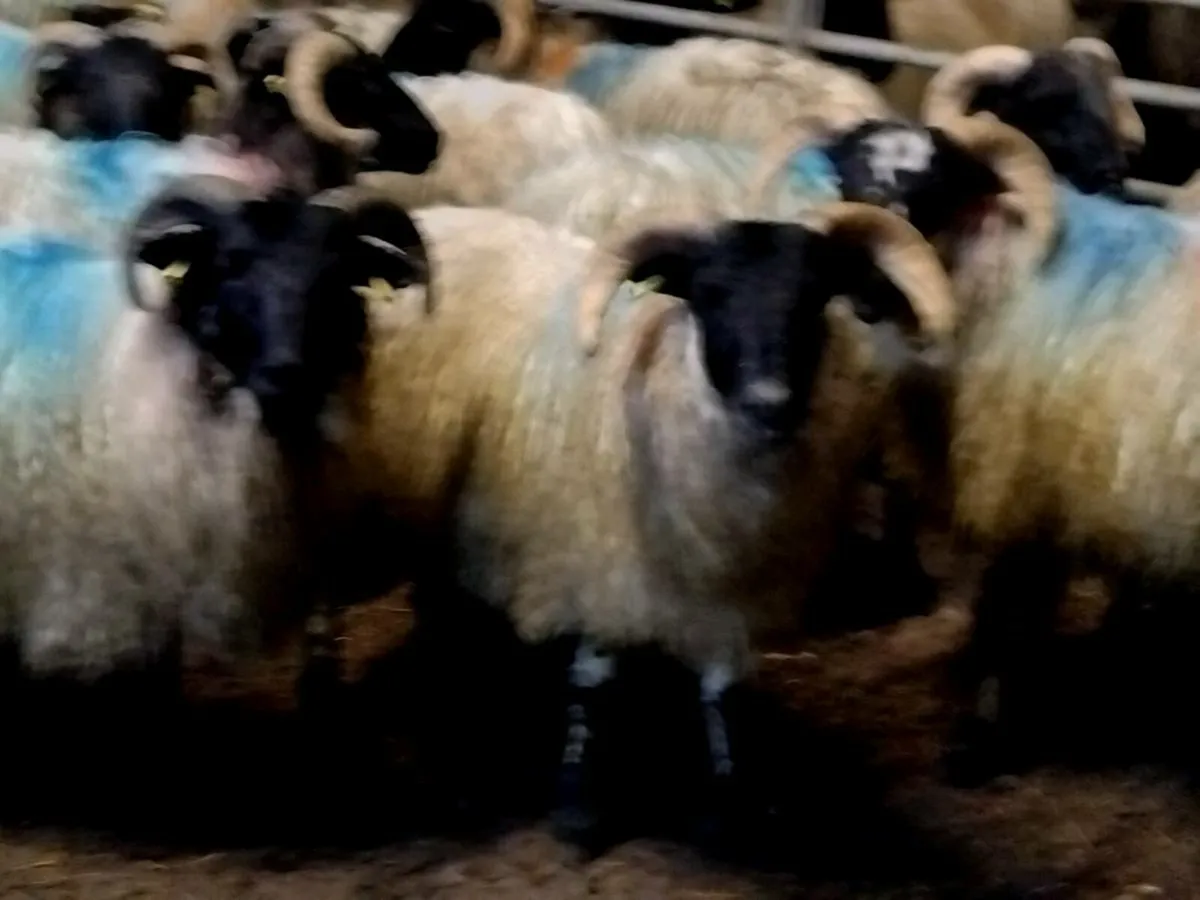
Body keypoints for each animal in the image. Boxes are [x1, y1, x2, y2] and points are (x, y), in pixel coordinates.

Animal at [341, 198, 956, 835]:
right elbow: (592, 677)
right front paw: (577, 797)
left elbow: (719, 686)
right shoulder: (599, 558)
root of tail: (438, 215)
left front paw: (727, 791)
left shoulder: (728, 582)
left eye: (814, 292)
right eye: (709, 293)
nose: (770, 402)